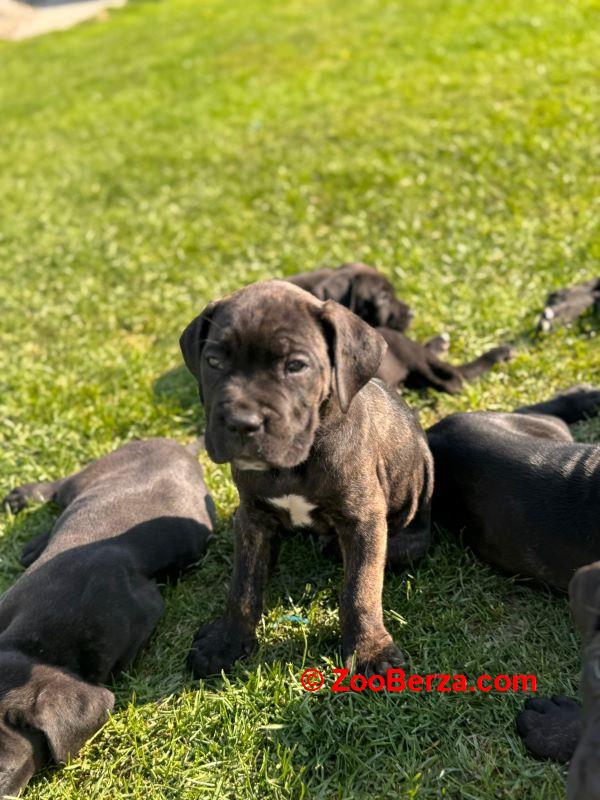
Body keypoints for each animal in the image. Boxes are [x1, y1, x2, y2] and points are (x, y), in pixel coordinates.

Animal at [180, 278, 434, 680]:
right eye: (214, 361)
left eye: (296, 366)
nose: (241, 423)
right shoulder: (252, 517)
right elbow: (243, 585)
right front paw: (228, 641)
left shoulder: (363, 521)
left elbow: (360, 589)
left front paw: (369, 650)